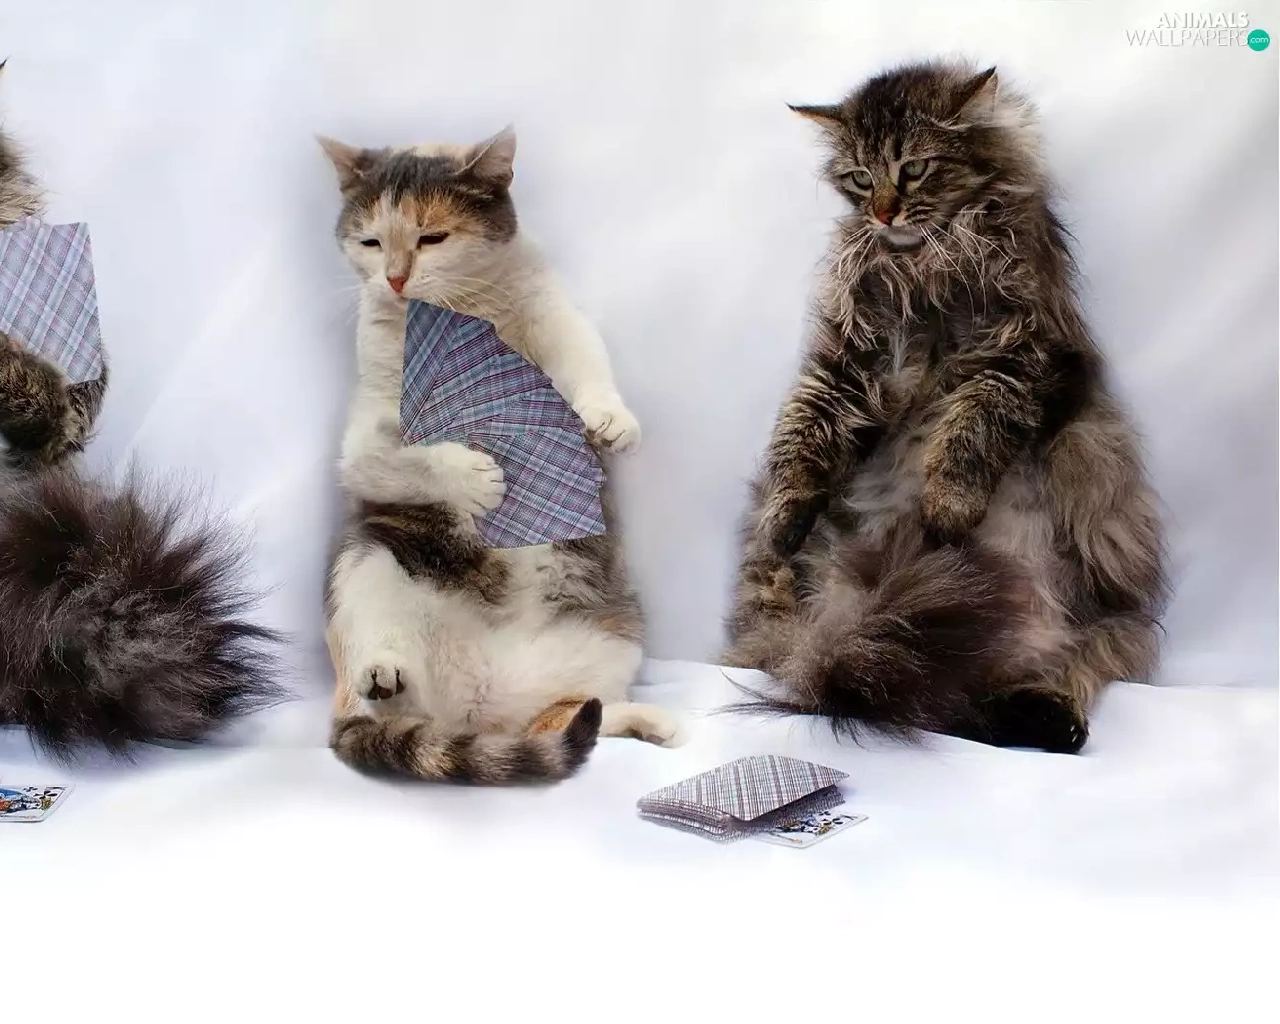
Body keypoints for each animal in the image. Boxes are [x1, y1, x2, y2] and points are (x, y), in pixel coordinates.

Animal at [320, 126, 682, 783]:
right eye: (371, 241)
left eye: (432, 237)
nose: (394, 279)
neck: (467, 312)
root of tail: (479, 713)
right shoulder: (362, 437)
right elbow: (393, 459)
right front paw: (473, 476)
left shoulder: (554, 313)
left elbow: (584, 357)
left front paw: (610, 419)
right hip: (363, 563)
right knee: (382, 706)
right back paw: (384, 679)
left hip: (616, 637)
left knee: (563, 718)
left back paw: (646, 720)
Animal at [725, 61, 1168, 753]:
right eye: (860, 177)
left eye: (914, 169)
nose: (884, 212)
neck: (923, 263)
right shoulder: (844, 362)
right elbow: (802, 437)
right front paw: (787, 513)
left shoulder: (1024, 357)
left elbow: (970, 430)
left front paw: (945, 510)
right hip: (803, 607)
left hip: (1096, 611)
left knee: (1028, 681)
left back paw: (1050, 718)